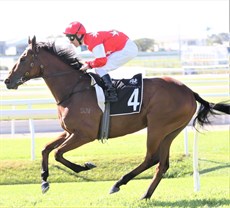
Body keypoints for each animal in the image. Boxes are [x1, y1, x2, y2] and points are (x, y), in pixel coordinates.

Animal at [4, 36, 229, 200]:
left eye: (23, 58)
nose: (7, 81)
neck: (74, 89)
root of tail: (190, 91)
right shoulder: (70, 131)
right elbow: (46, 149)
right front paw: (44, 180)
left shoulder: (85, 134)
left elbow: (58, 153)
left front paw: (84, 166)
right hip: (171, 131)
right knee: (162, 164)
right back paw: (145, 195)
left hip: (157, 127)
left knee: (151, 158)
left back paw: (119, 183)